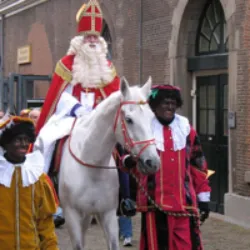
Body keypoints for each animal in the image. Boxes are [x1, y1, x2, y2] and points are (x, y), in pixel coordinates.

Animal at [58, 76, 160, 250]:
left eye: (152, 117)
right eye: (129, 119)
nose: (152, 162)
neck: (91, 164)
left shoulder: (108, 214)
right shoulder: (72, 215)